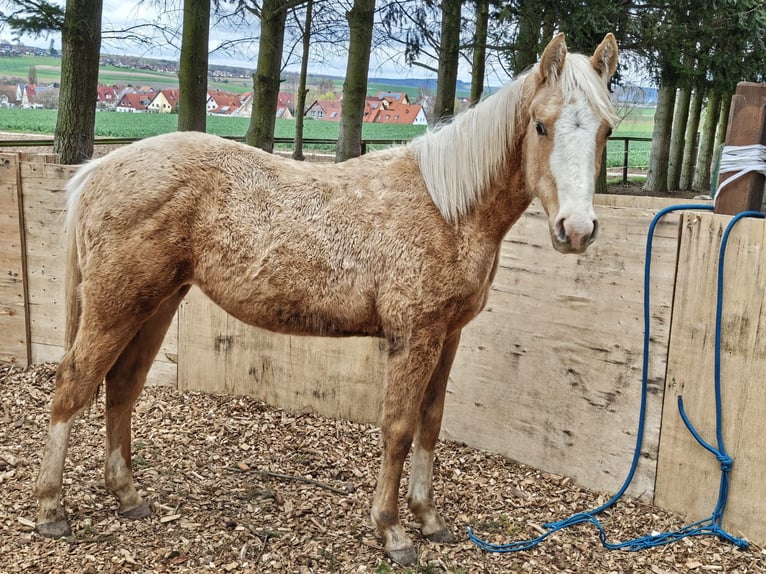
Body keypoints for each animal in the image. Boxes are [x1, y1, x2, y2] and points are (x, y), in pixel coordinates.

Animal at [35, 32, 618, 566]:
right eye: (541, 125)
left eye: (606, 129)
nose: (577, 229)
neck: (446, 207)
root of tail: (100, 170)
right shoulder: (415, 338)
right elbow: (399, 429)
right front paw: (393, 532)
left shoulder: (447, 336)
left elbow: (431, 422)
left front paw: (429, 518)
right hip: (116, 307)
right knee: (72, 385)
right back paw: (50, 508)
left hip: (155, 305)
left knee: (122, 387)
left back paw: (127, 495)